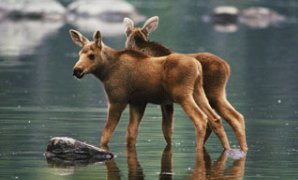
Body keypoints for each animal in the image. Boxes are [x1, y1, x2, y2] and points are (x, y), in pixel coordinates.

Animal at [69, 28, 230, 151]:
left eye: (91, 56)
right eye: (79, 54)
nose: (76, 70)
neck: (105, 72)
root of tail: (197, 66)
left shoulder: (117, 100)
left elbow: (105, 135)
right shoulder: (137, 103)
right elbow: (131, 134)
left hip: (183, 95)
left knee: (201, 119)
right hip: (198, 92)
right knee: (215, 119)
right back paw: (228, 149)